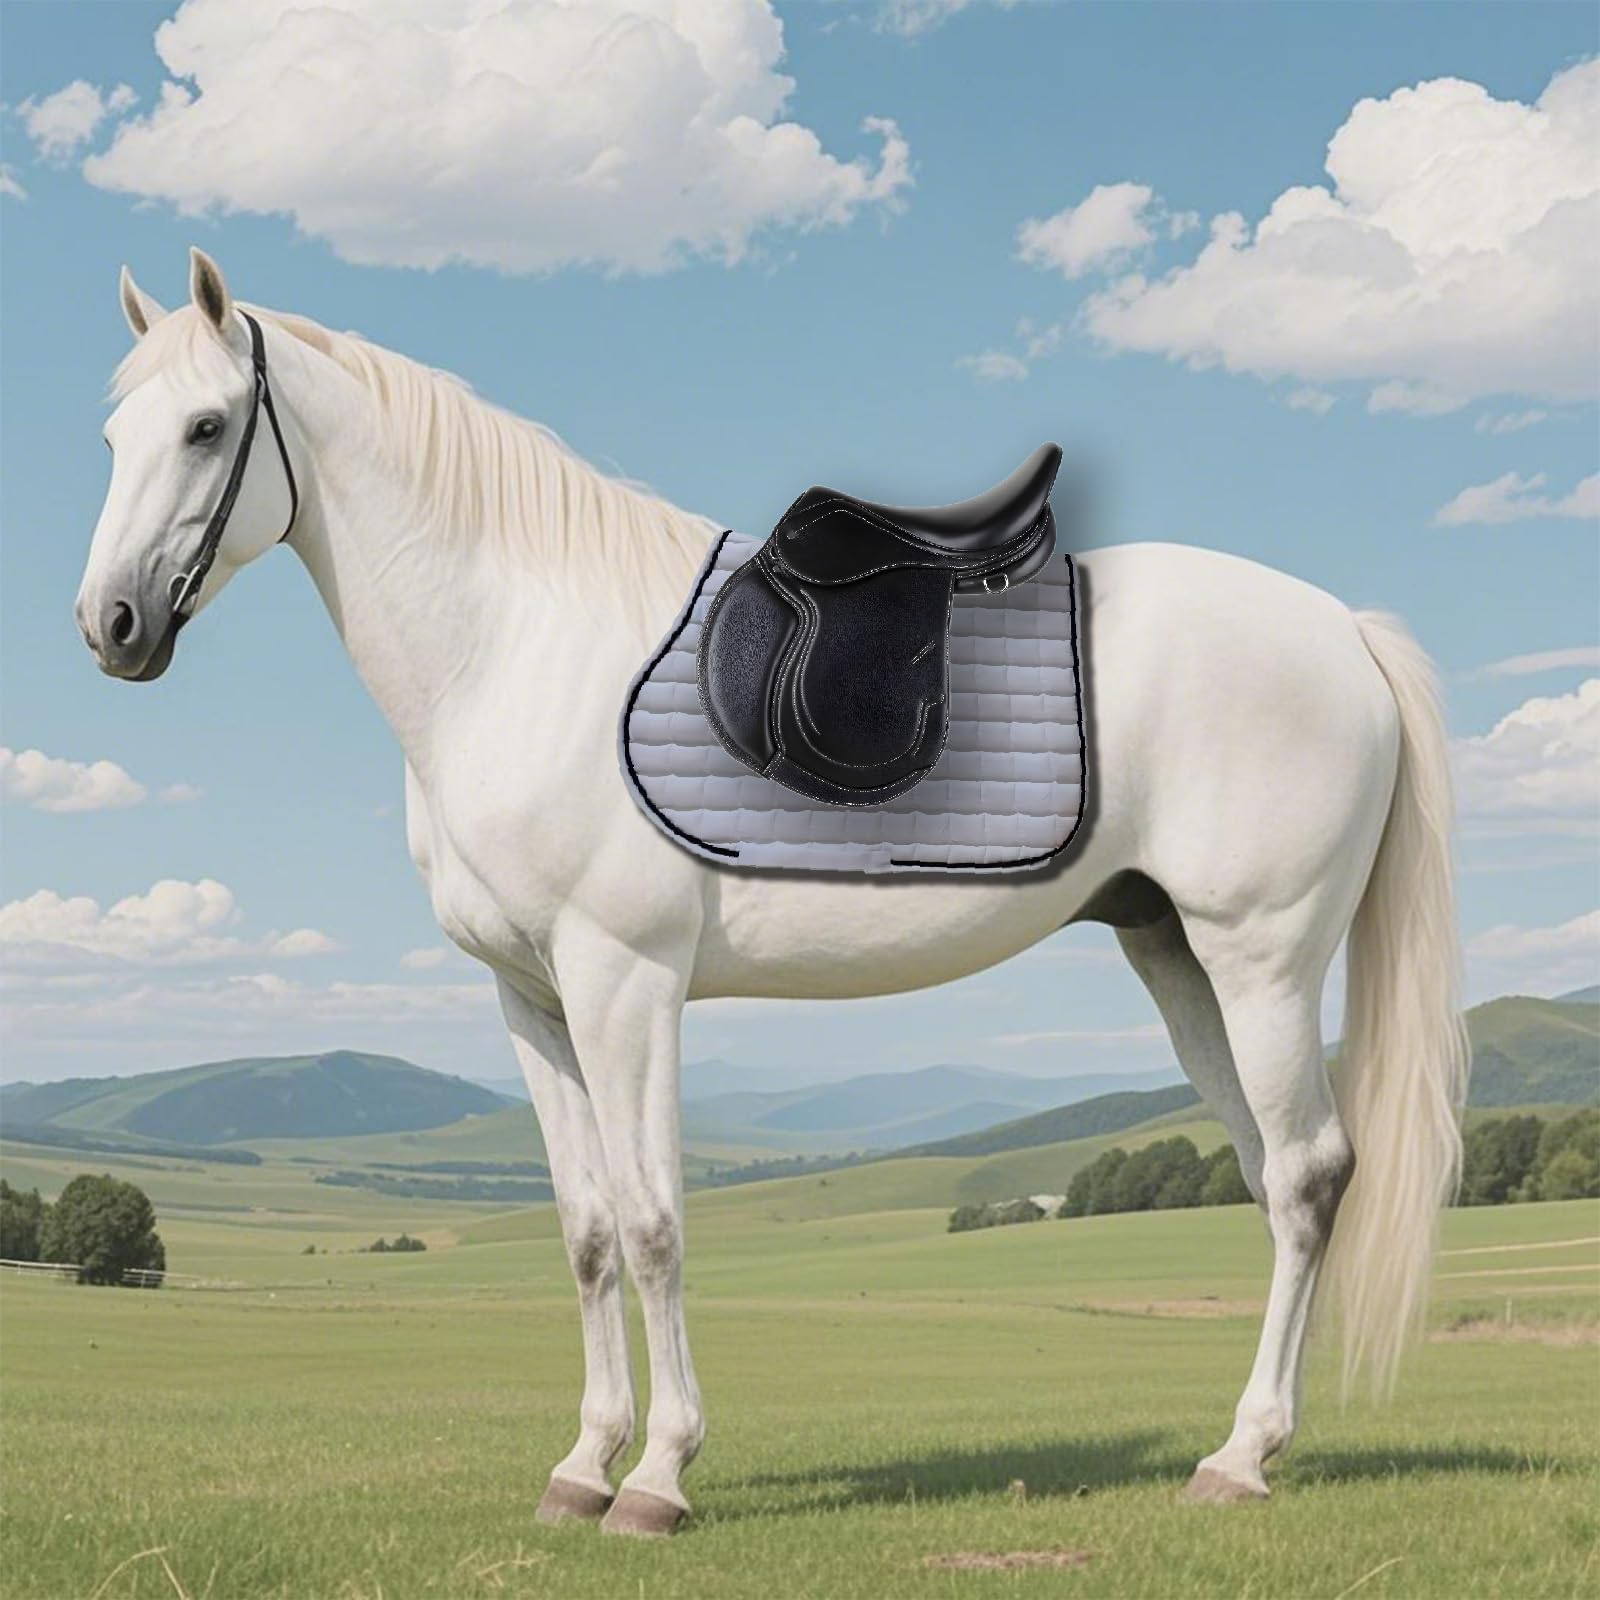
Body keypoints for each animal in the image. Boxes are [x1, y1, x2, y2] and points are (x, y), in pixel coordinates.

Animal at [75, 249, 1468, 1537]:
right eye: (113, 433)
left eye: (207, 428)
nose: (112, 626)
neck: (515, 651)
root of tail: (1342, 632)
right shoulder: (531, 999)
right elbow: (586, 1232)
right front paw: (582, 1465)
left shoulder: (624, 981)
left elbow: (653, 1225)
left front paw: (657, 1477)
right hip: (1173, 952)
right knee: (1270, 1174)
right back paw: (1248, 1441)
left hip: (1260, 956)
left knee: (1309, 1175)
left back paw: (1241, 1457)